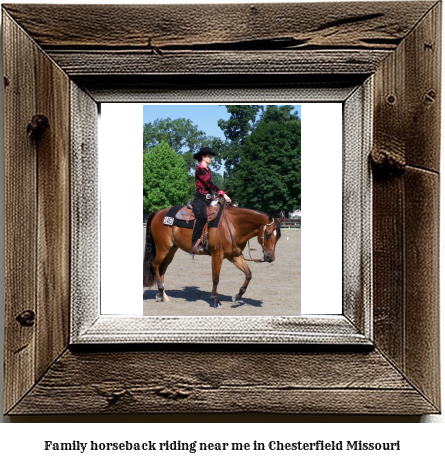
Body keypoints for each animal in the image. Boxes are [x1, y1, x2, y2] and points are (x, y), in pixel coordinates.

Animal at [144, 203, 282, 308]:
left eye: (278, 237)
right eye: (268, 234)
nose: (270, 258)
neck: (232, 225)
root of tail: (158, 213)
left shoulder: (234, 256)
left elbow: (248, 274)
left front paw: (237, 296)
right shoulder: (217, 256)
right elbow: (216, 278)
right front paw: (215, 301)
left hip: (171, 250)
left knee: (162, 269)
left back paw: (163, 295)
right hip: (163, 248)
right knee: (155, 265)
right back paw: (160, 292)